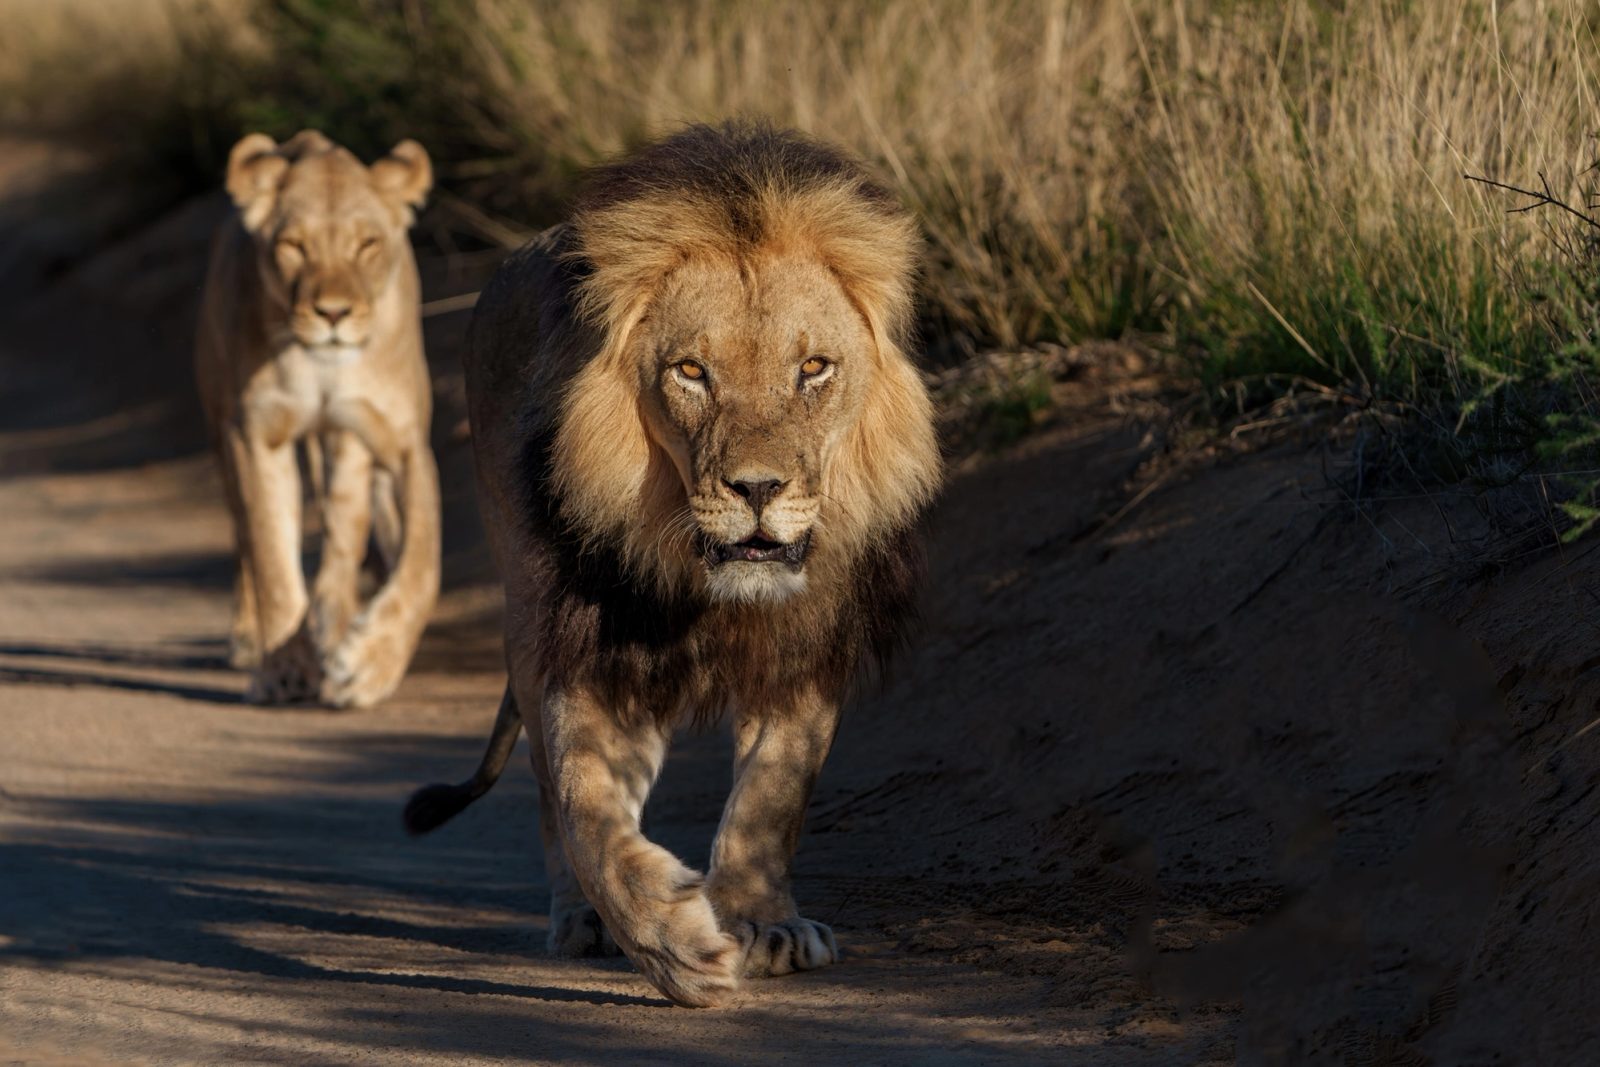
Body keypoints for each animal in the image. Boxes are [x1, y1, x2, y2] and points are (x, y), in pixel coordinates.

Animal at [194, 130, 441, 708]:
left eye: (367, 244)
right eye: (293, 246)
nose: (333, 313)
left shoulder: (403, 440)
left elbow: (422, 563)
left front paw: (371, 663)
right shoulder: (255, 437)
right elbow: (270, 558)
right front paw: (284, 668)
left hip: (345, 446)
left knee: (345, 531)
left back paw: (335, 625)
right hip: (220, 426)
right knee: (243, 537)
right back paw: (252, 637)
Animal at [402, 122, 941, 1007]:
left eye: (814, 369)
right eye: (692, 371)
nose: (758, 489)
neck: (709, 585)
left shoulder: (803, 648)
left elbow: (771, 798)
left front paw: (763, 923)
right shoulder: (590, 644)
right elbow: (584, 807)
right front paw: (672, 943)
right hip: (525, 610)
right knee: (547, 792)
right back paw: (581, 920)